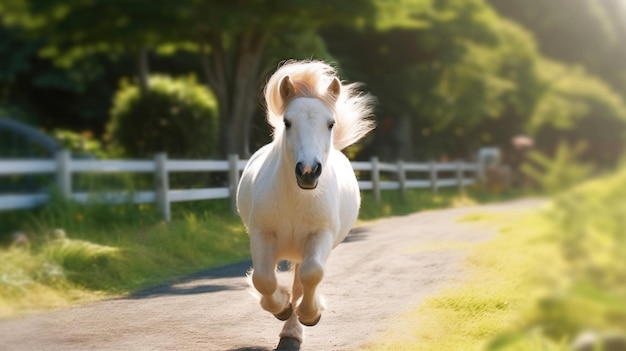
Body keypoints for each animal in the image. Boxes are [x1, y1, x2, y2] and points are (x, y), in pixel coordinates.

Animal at [234, 60, 370, 350]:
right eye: (287, 122)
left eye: (330, 124)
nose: (308, 171)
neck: (297, 198)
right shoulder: (262, 234)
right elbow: (263, 279)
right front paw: (281, 306)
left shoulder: (320, 236)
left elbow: (311, 275)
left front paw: (310, 314)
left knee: (301, 280)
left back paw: (292, 333)